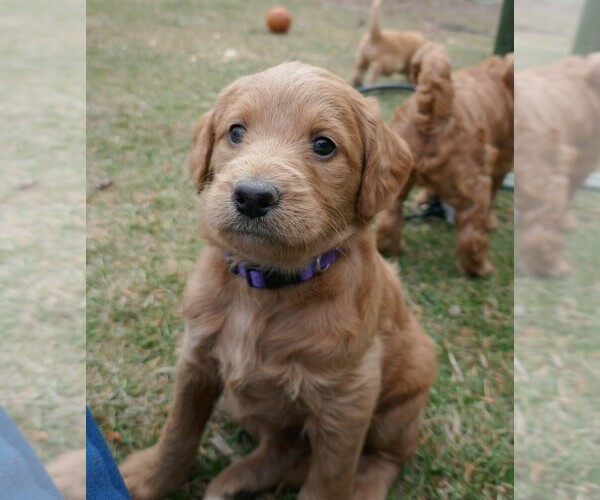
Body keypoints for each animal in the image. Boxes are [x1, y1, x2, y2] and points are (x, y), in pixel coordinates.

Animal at [119, 61, 436, 500]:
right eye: (236, 131)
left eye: (323, 145)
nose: (252, 196)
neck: (265, 287)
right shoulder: (196, 359)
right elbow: (178, 431)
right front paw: (149, 478)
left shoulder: (348, 398)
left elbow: (329, 480)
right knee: (281, 448)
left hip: (405, 395)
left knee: (387, 458)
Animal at [378, 42, 512, 278]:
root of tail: (434, 108)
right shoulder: (502, 160)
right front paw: (491, 222)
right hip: (474, 182)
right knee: (471, 232)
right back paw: (479, 268)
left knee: (389, 216)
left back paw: (391, 249)